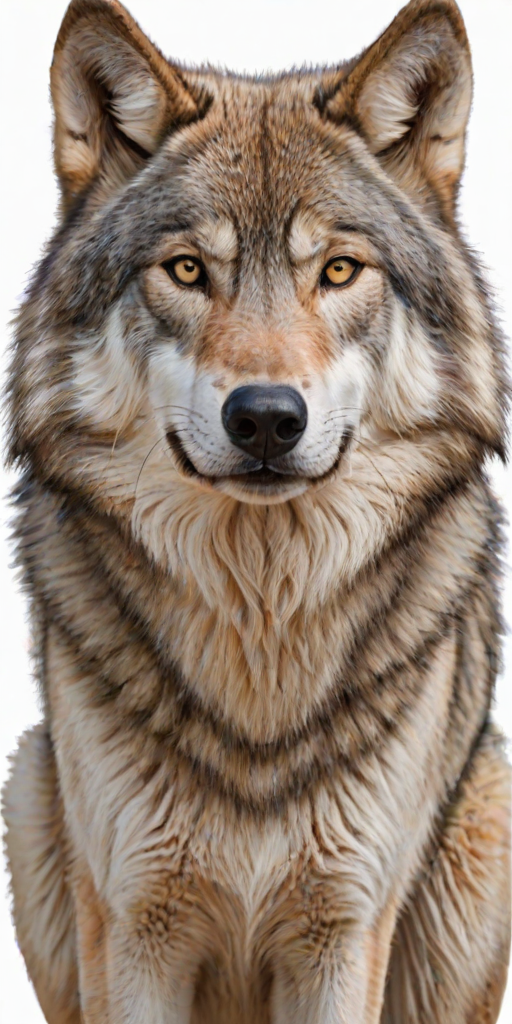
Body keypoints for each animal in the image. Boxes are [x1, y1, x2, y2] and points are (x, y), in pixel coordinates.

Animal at [2, 0, 510, 1021]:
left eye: (341, 270)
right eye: (188, 269)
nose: (268, 418)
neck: (260, 638)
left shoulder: (343, 931)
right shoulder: (134, 925)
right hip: (33, 791)